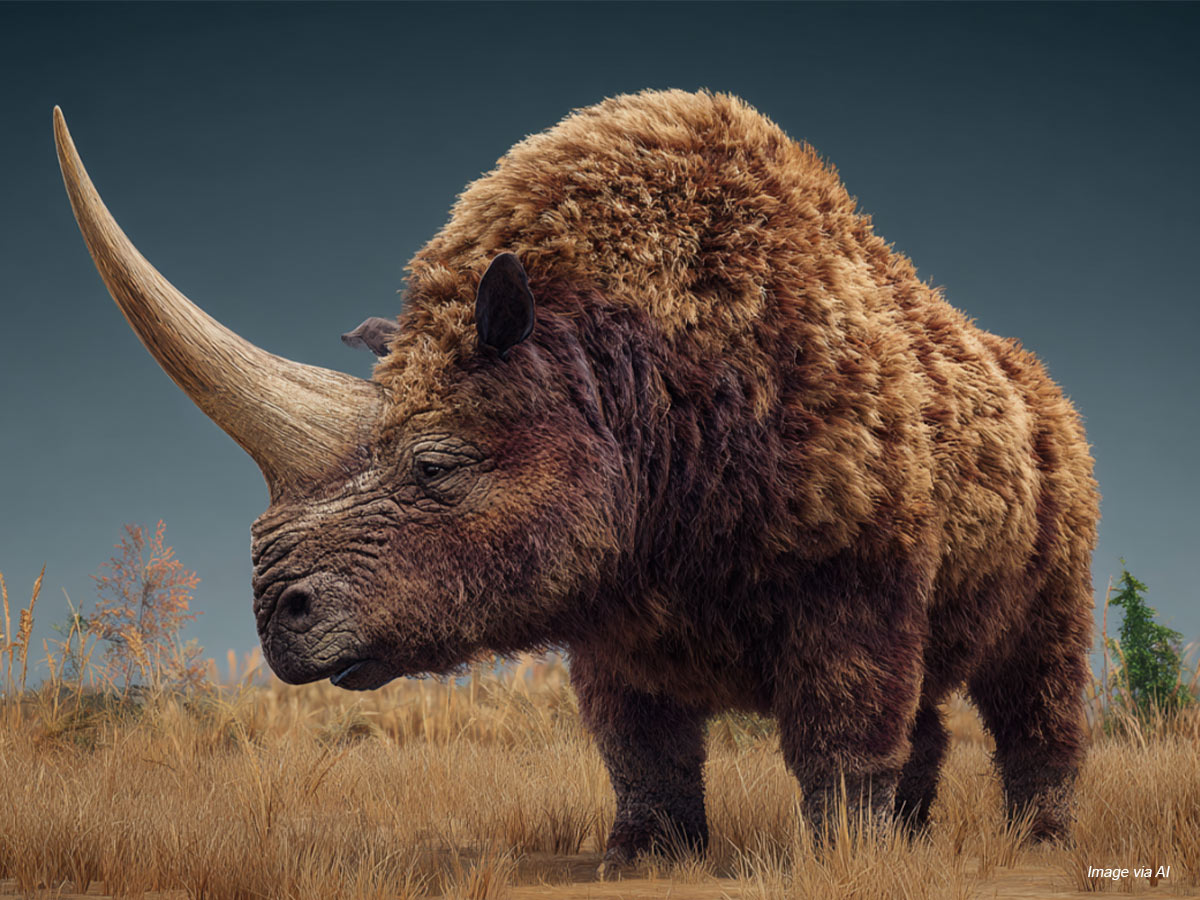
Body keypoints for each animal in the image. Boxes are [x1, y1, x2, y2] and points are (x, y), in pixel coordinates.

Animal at [54, 90, 1099, 866]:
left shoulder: (853, 567)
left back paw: (1035, 845)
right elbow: (638, 743)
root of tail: (1038, 385)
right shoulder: (605, 586)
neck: (605, 364)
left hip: (1067, 485)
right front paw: (644, 859)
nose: (277, 619)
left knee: (1035, 665)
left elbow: (842, 728)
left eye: (437, 468)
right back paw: (920, 839)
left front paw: (843, 859)